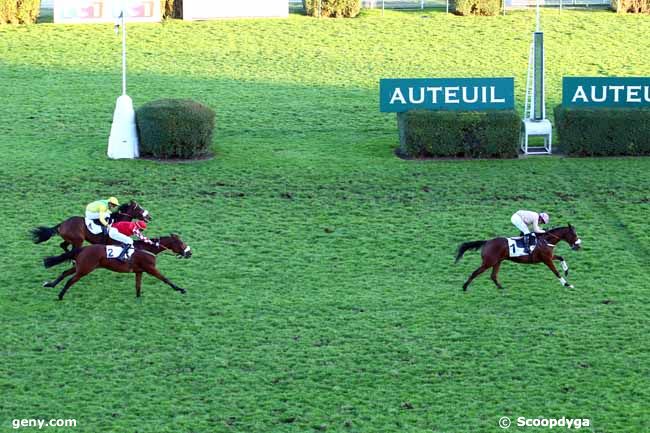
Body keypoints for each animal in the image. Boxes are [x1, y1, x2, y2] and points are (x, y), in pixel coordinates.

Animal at [41, 235, 190, 298]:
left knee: (65, 273)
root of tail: (83, 249)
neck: (147, 248)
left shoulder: (139, 271)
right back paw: (60, 295)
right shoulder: (150, 268)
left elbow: (138, 285)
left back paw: (50, 284)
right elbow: (165, 279)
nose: (189, 253)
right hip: (85, 269)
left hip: (81, 266)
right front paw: (180, 289)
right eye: (181, 243)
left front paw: (138, 298)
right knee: (70, 280)